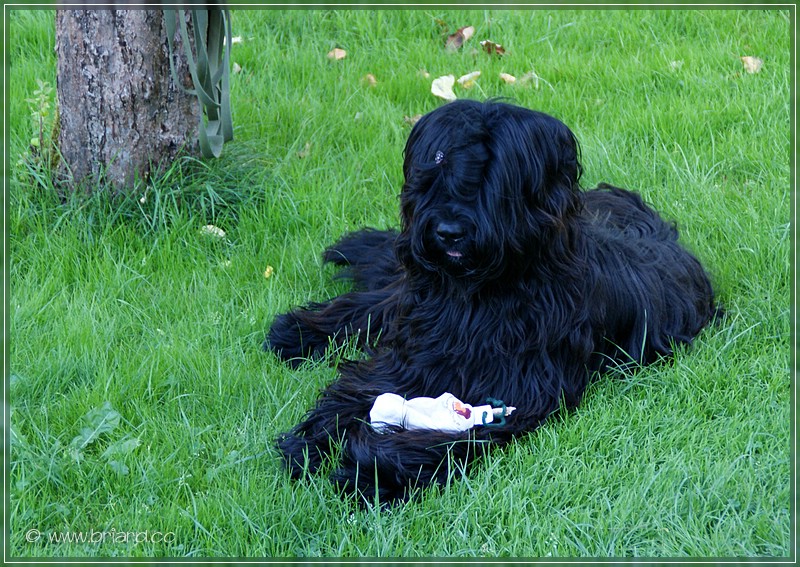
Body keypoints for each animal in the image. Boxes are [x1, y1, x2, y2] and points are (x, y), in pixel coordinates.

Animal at [262, 100, 720, 504]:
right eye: (438, 162)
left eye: (493, 176)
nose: (447, 231)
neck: (479, 297)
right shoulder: (415, 356)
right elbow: (357, 388)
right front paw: (314, 439)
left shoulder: (518, 392)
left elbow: (445, 438)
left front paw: (372, 471)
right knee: (375, 302)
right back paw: (297, 333)